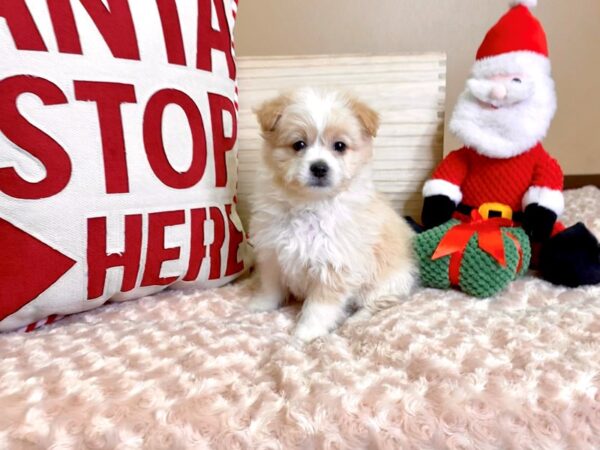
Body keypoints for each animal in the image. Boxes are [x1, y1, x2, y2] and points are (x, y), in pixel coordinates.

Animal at [248, 87, 418, 342]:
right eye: (298, 144)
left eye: (339, 146)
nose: (319, 167)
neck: (310, 206)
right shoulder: (272, 255)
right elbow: (270, 287)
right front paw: (260, 306)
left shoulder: (334, 266)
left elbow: (318, 308)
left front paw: (305, 334)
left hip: (388, 282)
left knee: (377, 303)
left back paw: (355, 320)